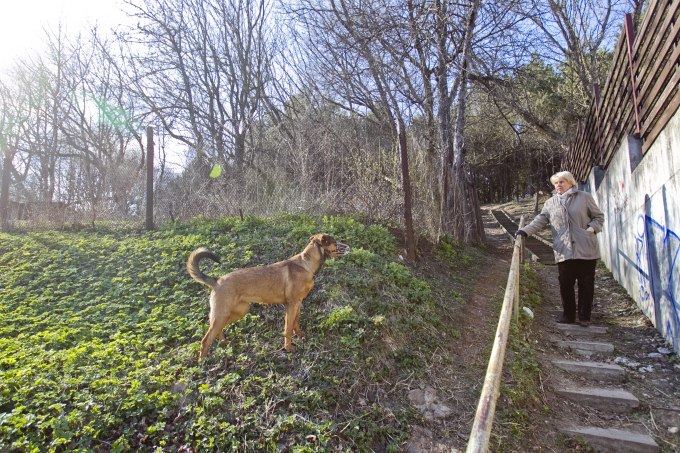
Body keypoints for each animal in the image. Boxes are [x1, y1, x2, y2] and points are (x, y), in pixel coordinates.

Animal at [189, 233, 348, 356]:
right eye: (334, 242)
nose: (347, 246)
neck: (306, 265)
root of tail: (216, 281)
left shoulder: (298, 304)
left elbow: (296, 322)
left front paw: (300, 335)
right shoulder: (291, 305)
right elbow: (288, 328)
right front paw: (288, 348)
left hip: (237, 311)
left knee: (218, 330)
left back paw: (224, 344)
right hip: (222, 314)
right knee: (205, 340)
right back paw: (203, 362)